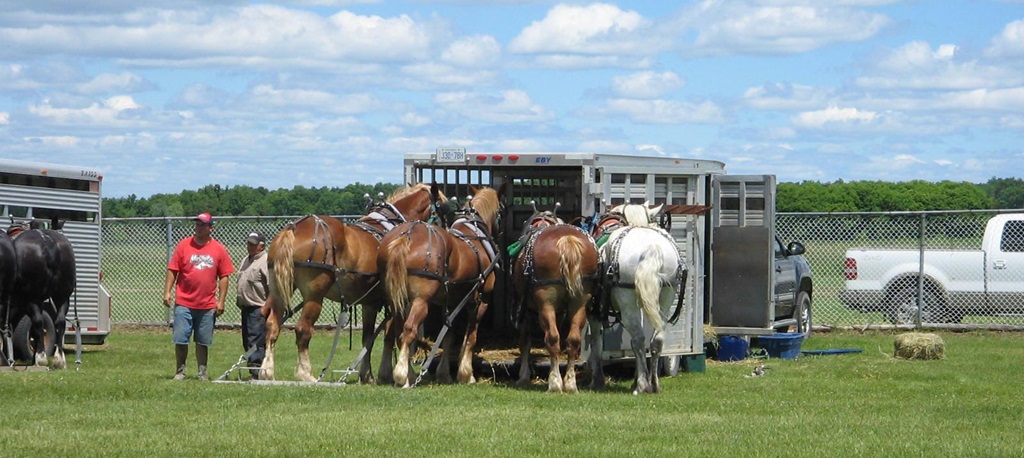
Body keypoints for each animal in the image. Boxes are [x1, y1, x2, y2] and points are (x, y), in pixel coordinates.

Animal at [7, 226, 76, 368]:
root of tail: (47, 241)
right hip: (62, 297)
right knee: (59, 322)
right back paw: (59, 359)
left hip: (31, 299)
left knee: (38, 322)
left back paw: (40, 358)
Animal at [260, 183, 445, 382]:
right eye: (444, 206)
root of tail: (294, 228)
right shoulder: (390, 299)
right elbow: (390, 335)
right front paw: (386, 373)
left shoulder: (370, 302)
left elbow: (368, 338)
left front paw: (367, 375)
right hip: (314, 295)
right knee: (303, 329)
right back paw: (305, 374)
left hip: (278, 289)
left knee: (272, 325)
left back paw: (266, 371)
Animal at [379, 183, 506, 387]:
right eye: (502, 209)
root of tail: (405, 237)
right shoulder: (481, 299)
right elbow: (471, 336)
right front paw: (466, 374)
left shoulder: (452, 300)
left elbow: (449, 334)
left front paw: (444, 373)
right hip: (421, 301)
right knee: (408, 329)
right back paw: (402, 376)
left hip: (395, 299)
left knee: (397, 330)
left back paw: (407, 374)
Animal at [512, 204, 599, 393]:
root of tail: (567, 240)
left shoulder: (526, 309)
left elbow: (525, 341)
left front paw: (523, 376)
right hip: (580, 301)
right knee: (573, 340)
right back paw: (570, 383)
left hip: (546, 303)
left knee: (552, 338)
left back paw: (555, 383)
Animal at [587, 203, 685, 394]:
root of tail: (652, 249)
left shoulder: (595, 311)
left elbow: (596, 341)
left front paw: (597, 379)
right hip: (666, 298)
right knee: (655, 340)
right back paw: (653, 383)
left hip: (628, 304)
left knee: (639, 339)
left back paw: (642, 385)